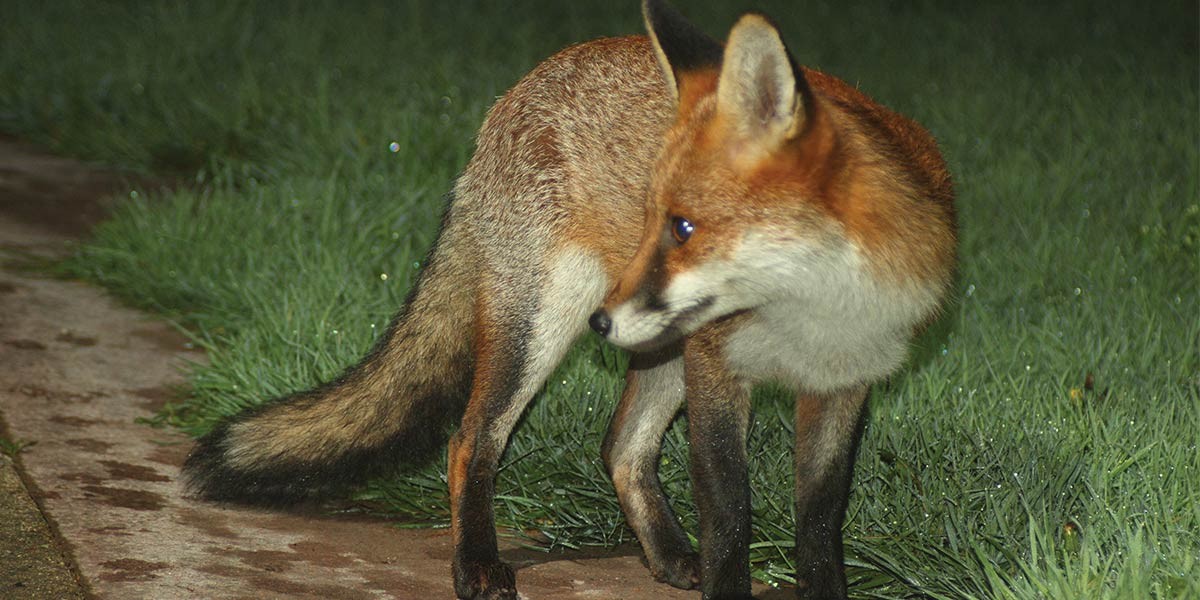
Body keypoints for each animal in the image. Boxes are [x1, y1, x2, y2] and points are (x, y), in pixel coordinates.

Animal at [183, 1, 956, 599]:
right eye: (655, 219)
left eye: (683, 228)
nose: (603, 321)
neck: (810, 315)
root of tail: (518, 90)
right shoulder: (718, 369)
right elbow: (731, 515)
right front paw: (724, 574)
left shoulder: (842, 385)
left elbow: (820, 523)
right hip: (543, 323)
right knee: (472, 441)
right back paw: (476, 564)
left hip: (656, 342)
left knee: (620, 446)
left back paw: (667, 555)